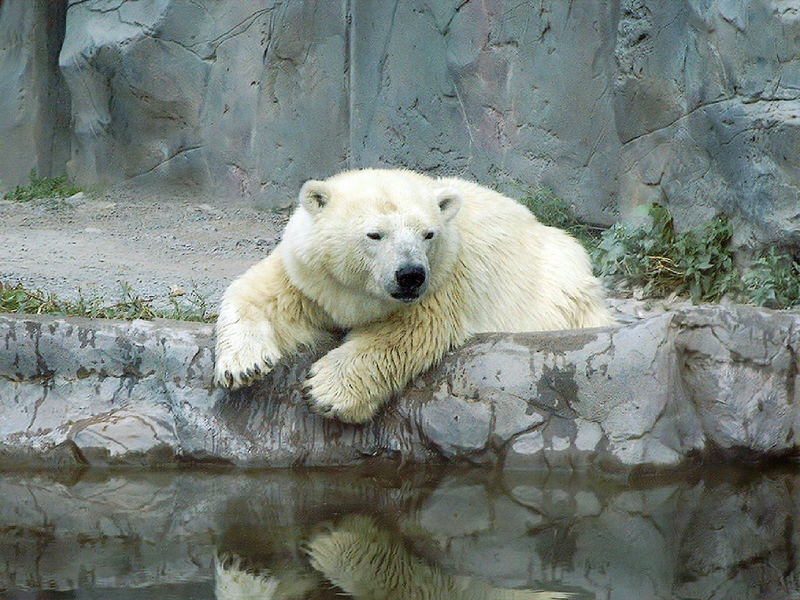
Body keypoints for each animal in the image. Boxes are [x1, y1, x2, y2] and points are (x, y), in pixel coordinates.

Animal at [214, 169, 612, 422]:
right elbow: (263, 295)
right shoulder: (310, 274)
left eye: (428, 234)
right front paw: (243, 365)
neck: (360, 292)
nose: (410, 275)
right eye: (375, 234)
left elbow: (406, 333)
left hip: (555, 285)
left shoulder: (443, 281)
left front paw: (325, 391)